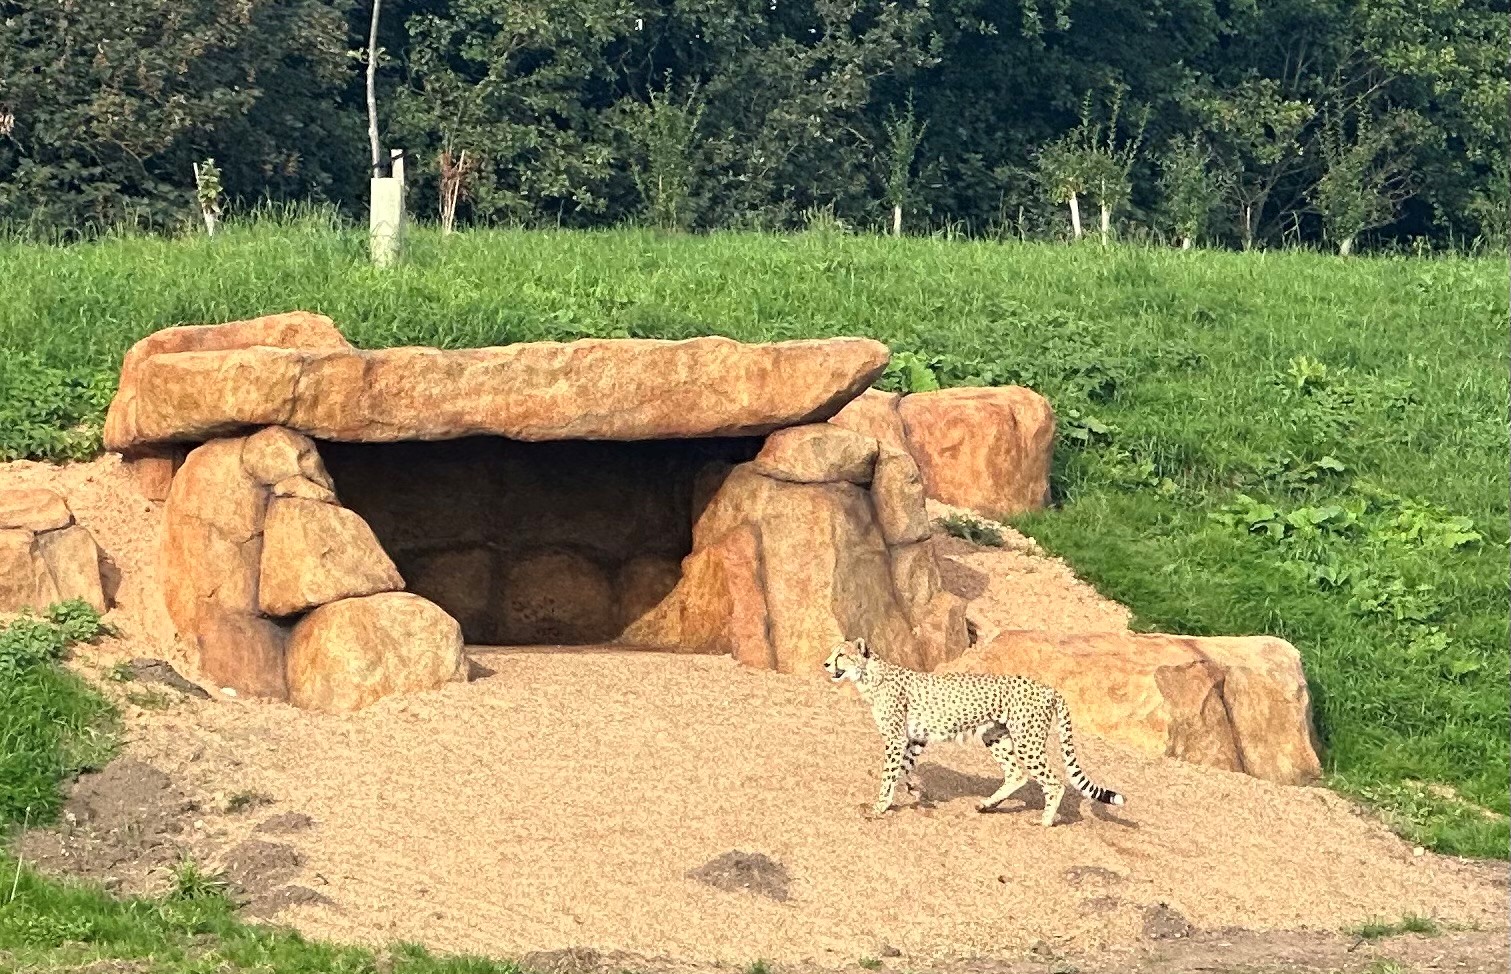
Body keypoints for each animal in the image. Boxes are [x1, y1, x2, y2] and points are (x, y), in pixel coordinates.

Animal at [823, 637, 1126, 825]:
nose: (825, 663)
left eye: (841, 655)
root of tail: (1048, 688)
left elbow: (889, 773)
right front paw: (915, 792)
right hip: (995, 736)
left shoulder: (897, 738)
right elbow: (906, 767)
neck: (871, 676)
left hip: (1027, 740)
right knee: (1016, 774)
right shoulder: (915, 737)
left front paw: (881, 804)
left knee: (1053, 781)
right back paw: (987, 805)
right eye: (832, 652)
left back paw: (1045, 821)